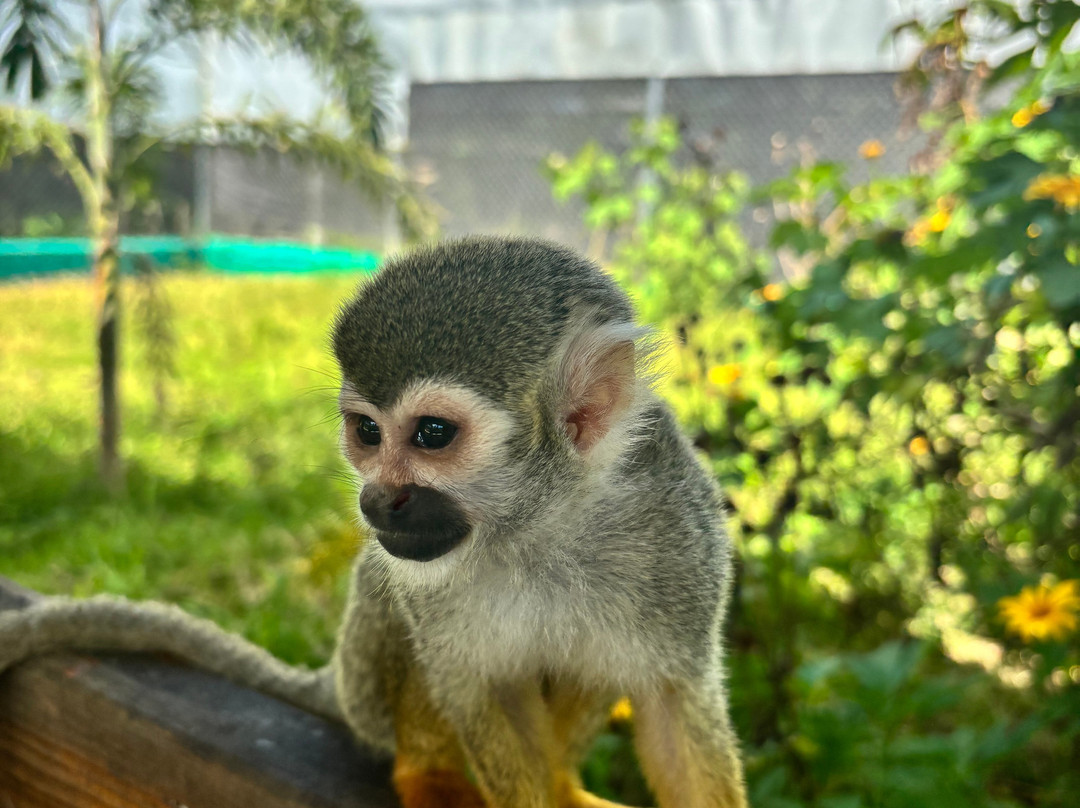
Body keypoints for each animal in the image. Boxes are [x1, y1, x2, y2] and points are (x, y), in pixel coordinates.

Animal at [0, 236, 747, 808]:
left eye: (433, 434)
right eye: (366, 432)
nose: (378, 500)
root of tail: (337, 678)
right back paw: (428, 775)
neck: (540, 528)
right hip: (367, 675)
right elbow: (479, 692)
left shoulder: (680, 538)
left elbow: (672, 702)